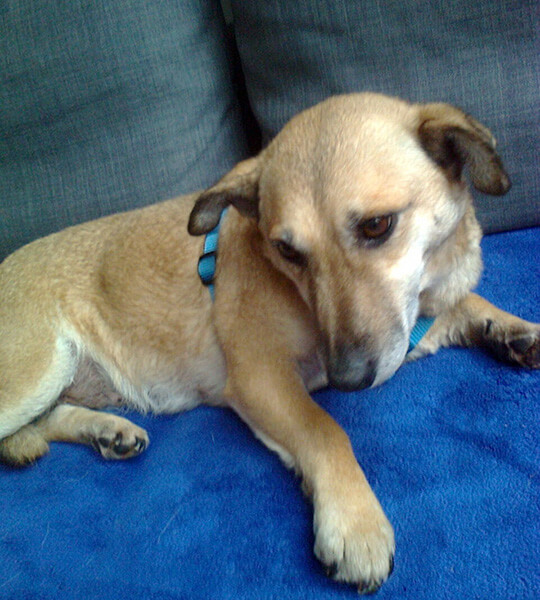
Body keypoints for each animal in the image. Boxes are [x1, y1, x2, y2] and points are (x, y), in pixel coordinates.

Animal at [1, 93, 538, 594]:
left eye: (376, 225)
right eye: (286, 251)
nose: (348, 379)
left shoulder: (410, 327)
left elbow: (467, 302)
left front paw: (512, 327)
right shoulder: (262, 378)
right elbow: (325, 430)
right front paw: (356, 523)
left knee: (42, 423)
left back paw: (107, 431)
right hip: (38, 368)